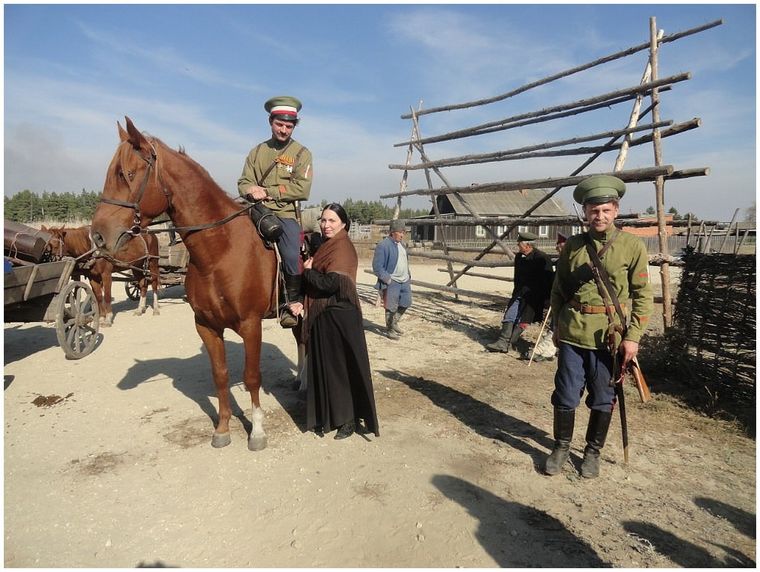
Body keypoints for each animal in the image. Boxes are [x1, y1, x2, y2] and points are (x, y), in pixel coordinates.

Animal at [90, 116, 302, 452]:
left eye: (127, 174)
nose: (98, 235)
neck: (221, 250)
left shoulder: (251, 325)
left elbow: (252, 376)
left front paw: (256, 431)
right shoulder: (206, 325)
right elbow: (220, 375)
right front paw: (223, 428)